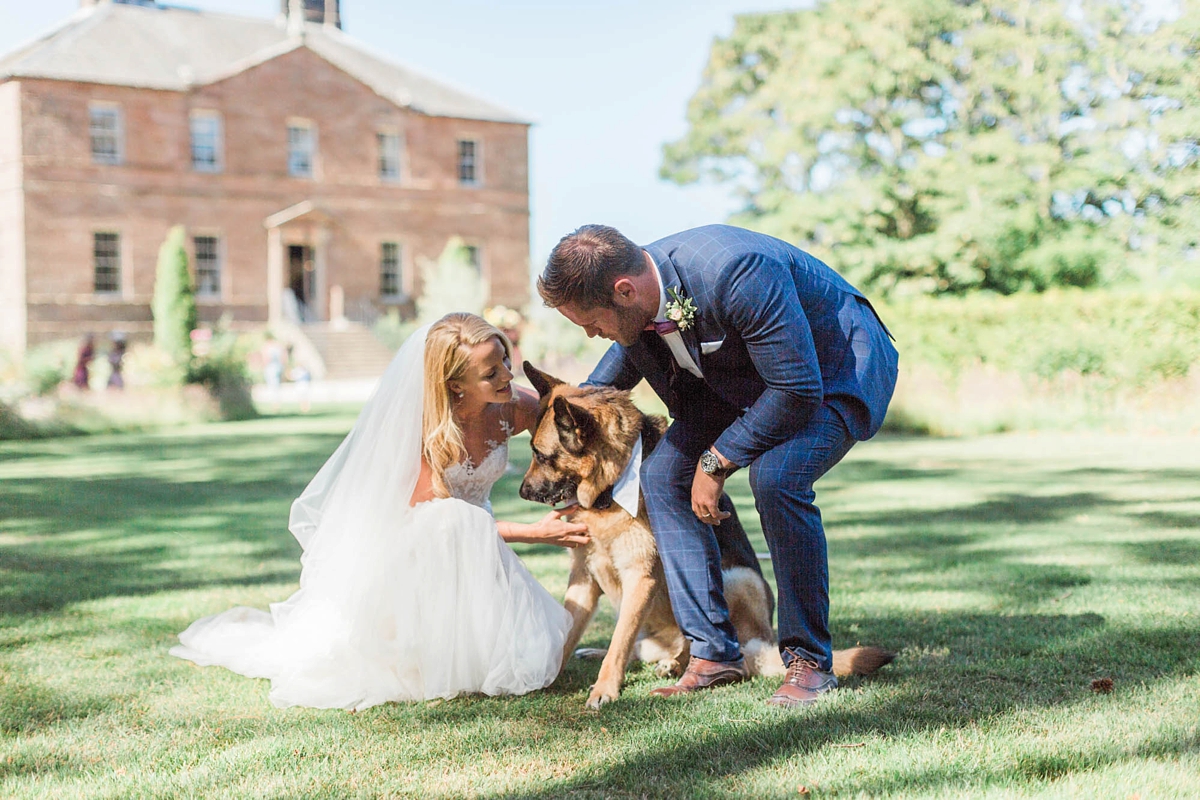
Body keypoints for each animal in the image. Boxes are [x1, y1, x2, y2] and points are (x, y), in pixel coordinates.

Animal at [520, 362, 897, 705]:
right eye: (532, 451)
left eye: (542, 455)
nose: (522, 492)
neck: (609, 489)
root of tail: (763, 644)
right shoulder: (583, 577)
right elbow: (572, 633)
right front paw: (547, 674)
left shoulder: (640, 578)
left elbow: (620, 642)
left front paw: (604, 690)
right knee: (642, 646)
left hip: (736, 578)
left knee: (719, 650)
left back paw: (685, 666)